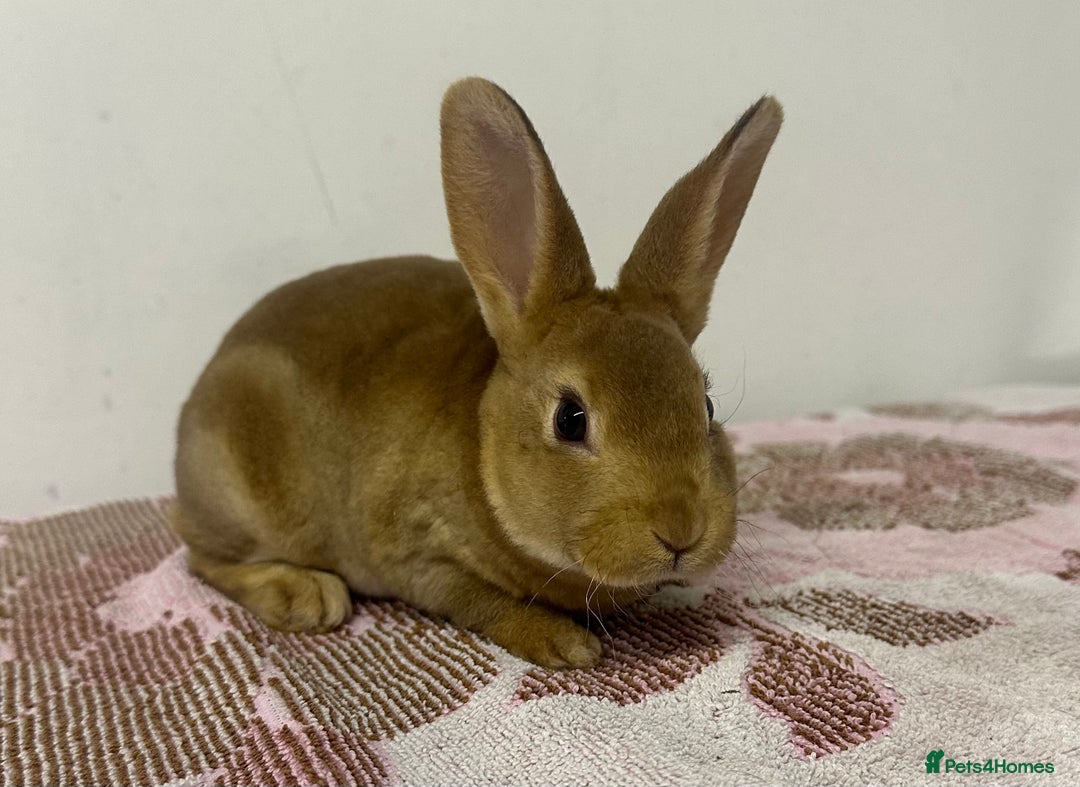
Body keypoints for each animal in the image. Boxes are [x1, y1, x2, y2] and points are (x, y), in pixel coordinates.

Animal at [170, 77, 782, 668]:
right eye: (570, 419)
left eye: (706, 406)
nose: (682, 531)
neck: (483, 451)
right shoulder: (421, 558)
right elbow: (484, 603)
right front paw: (562, 643)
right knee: (200, 556)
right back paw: (305, 596)